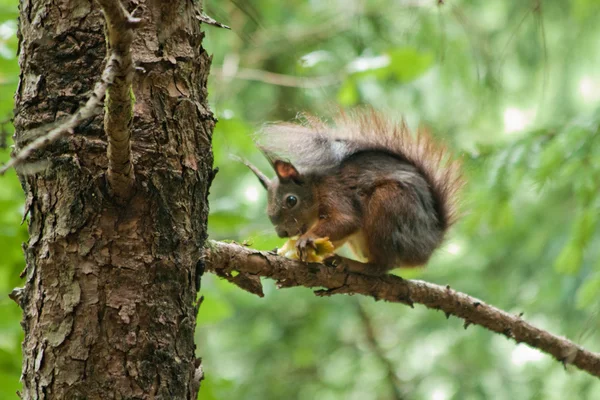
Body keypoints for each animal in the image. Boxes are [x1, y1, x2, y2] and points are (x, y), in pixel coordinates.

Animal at [240, 108, 464, 276]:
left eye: (291, 200)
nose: (282, 233)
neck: (316, 188)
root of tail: (430, 244)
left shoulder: (335, 193)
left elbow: (346, 221)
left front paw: (306, 239)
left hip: (388, 205)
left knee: (381, 266)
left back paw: (354, 265)